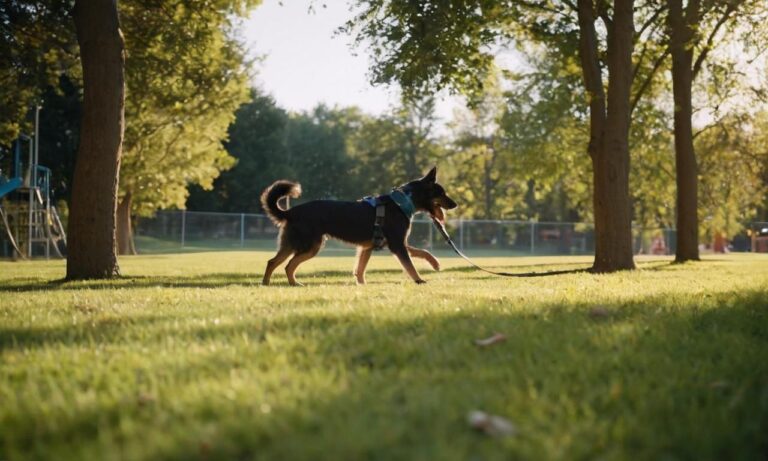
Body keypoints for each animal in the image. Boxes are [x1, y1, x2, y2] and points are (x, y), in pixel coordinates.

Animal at [260, 167, 460, 286]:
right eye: (442, 193)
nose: (455, 204)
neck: (404, 201)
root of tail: (291, 212)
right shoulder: (397, 244)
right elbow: (409, 265)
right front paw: (419, 280)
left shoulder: (371, 246)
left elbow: (361, 268)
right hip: (310, 245)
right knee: (286, 264)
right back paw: (283, 283)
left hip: (293, 244)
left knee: (276, 262)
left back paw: (273, 283)